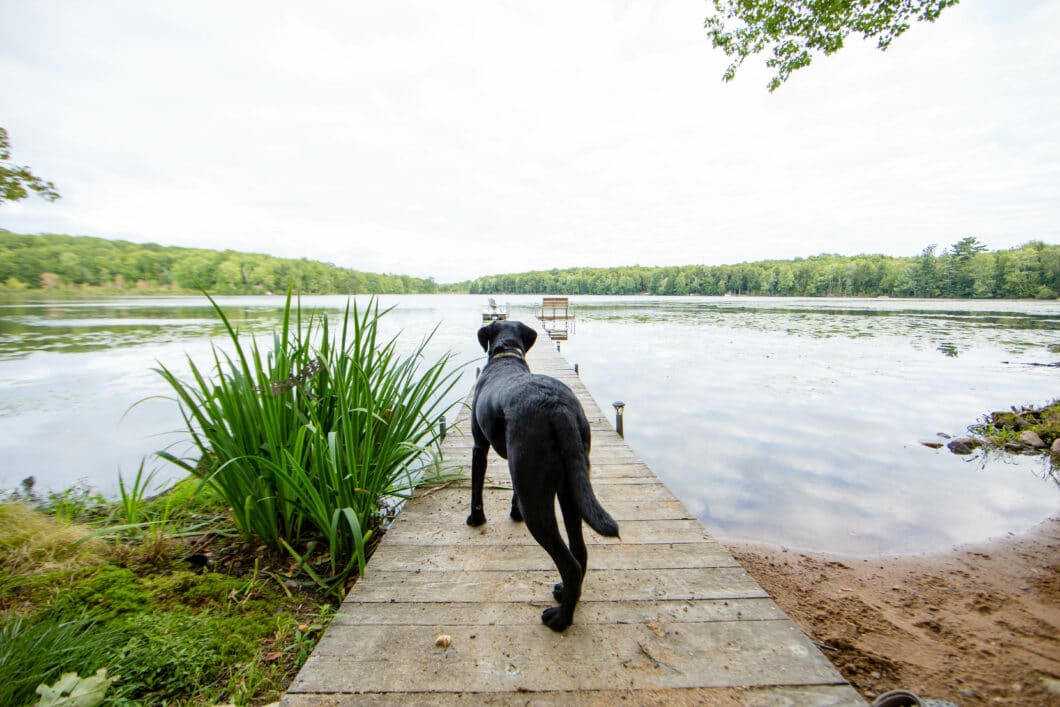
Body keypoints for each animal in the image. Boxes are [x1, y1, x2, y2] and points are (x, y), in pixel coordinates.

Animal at [466, 320, 619, 631]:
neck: (507, 355)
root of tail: (557, 408)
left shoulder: (479, 446)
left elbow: (476, 488)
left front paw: (476, 519)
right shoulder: (518, 468)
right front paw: (512, 514)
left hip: (537, 500)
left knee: (569, 563)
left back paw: (560, 619)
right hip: (569, 488)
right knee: (579, 552)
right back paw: (563, 595)